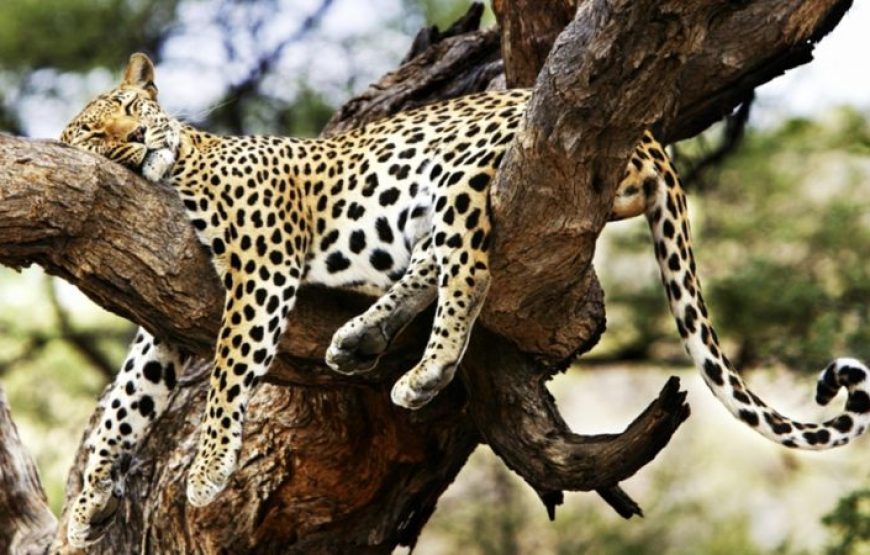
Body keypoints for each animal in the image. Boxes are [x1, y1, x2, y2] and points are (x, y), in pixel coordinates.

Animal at [58, 53, 869, 548]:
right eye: (93, 131)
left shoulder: (262, 267)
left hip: (457, 171)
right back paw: (361, 340)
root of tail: (646, 135)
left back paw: (424, 372)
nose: (136, 138)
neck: (179, 167)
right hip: (423, 209)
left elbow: (228, 376)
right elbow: (124, 405)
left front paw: (206, 471)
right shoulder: (163, 318)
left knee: (469, 270)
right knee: (435, 264)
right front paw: (85, 505)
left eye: (131, 107)